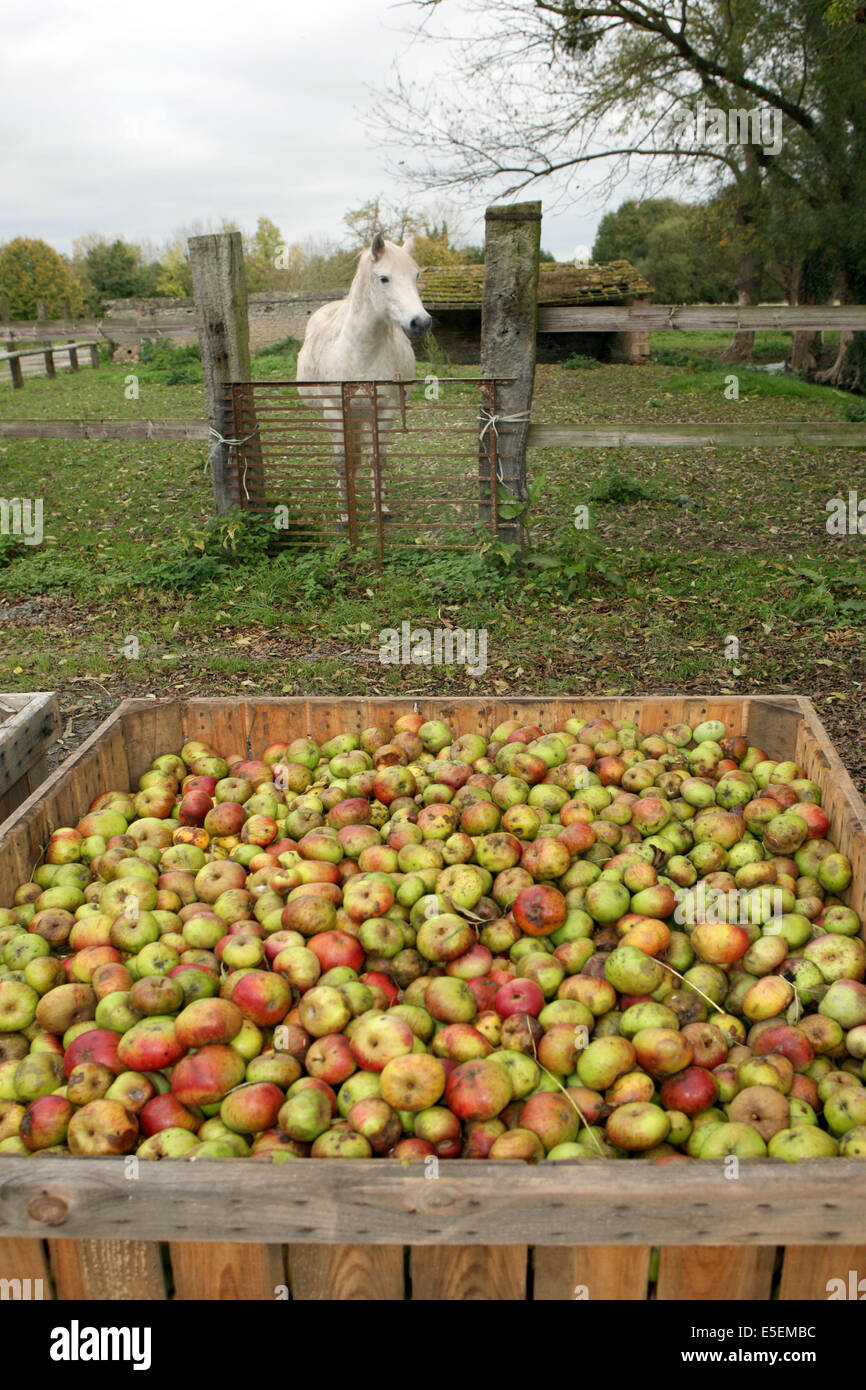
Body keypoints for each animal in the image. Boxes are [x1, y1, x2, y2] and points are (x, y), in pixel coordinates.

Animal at [297, 233, 433, 525]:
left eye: (416, 275)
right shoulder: (335, 411)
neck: (359, 352)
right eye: (384, 278)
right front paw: (344, 516)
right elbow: (342, 463)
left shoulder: (384, 410)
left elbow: (376, 460)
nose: (420, 322)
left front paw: (380, 510)